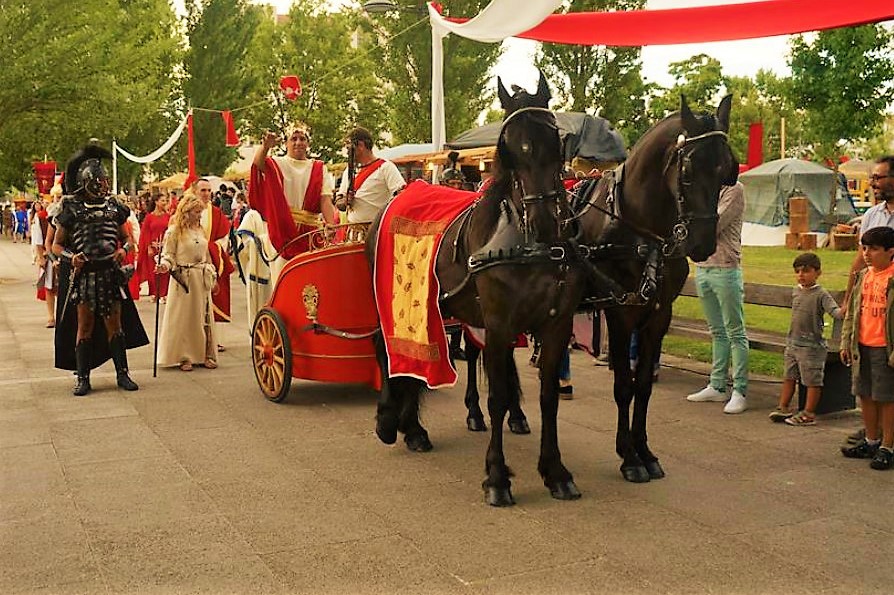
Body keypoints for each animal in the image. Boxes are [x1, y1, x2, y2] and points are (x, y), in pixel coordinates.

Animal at [368, 72, 584, 506]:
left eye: (555, 140)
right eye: (510, 147)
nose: (544, 220)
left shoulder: (556, 324)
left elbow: (549, 397)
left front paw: (555, 471)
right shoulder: (500, 325)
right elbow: (498, 396)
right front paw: (497, 476)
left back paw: (412, 427)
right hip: (392, 302)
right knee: (385, 348)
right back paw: (388, 419)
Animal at [576, 96, 740, 484]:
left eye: (728, 170)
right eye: (688, 170)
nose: (702, 243)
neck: (640, 234)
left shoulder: (658, 315)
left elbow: (643, 386)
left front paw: (644, 451)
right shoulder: (620, 313)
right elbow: (623, 384)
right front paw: (628, 457)